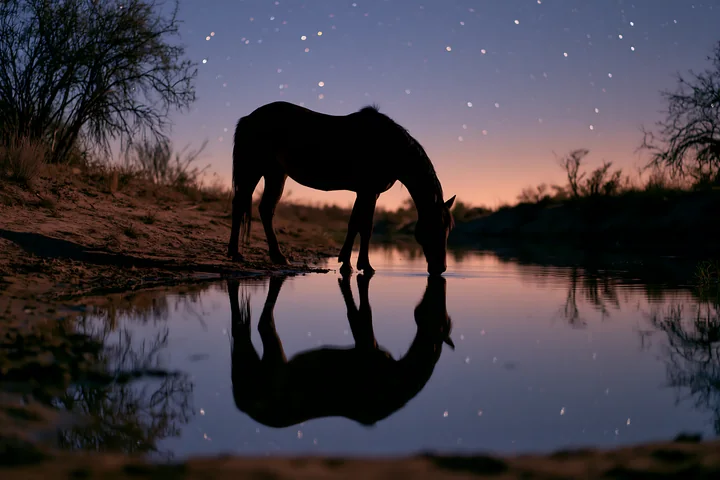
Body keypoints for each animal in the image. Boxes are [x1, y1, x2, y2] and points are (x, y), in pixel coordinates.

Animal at [227, 101, 455, 275]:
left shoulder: (366, 192)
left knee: (266, 209)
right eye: (435, 227)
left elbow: (355, 224)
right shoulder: (368, 191)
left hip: (275, 174)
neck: (390, 146)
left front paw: (347, 263)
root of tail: (248, 118)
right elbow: (365, 226)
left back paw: (277, 257)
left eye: (448, 228)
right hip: (253, 169)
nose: (440, 268)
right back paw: (236, 254)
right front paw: (365, 266)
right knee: (240, 204)